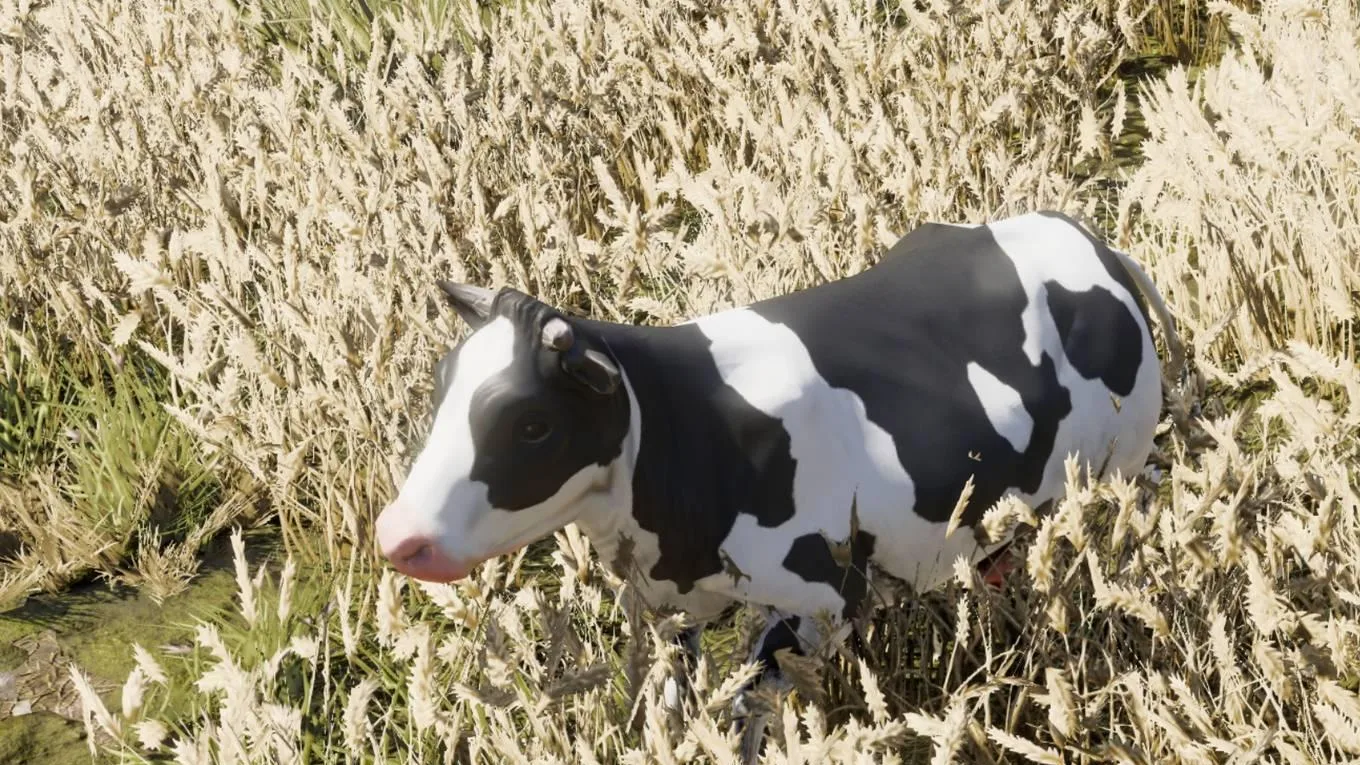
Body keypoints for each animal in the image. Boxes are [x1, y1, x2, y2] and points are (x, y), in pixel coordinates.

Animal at [374, 210, 1183, 760]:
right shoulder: (672, 609)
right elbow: (677, 705)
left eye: (533, 424)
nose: (397, 536)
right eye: (443, 385)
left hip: (1111, 479)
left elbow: (747, 708)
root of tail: (1092, 243)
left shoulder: (824, 601)